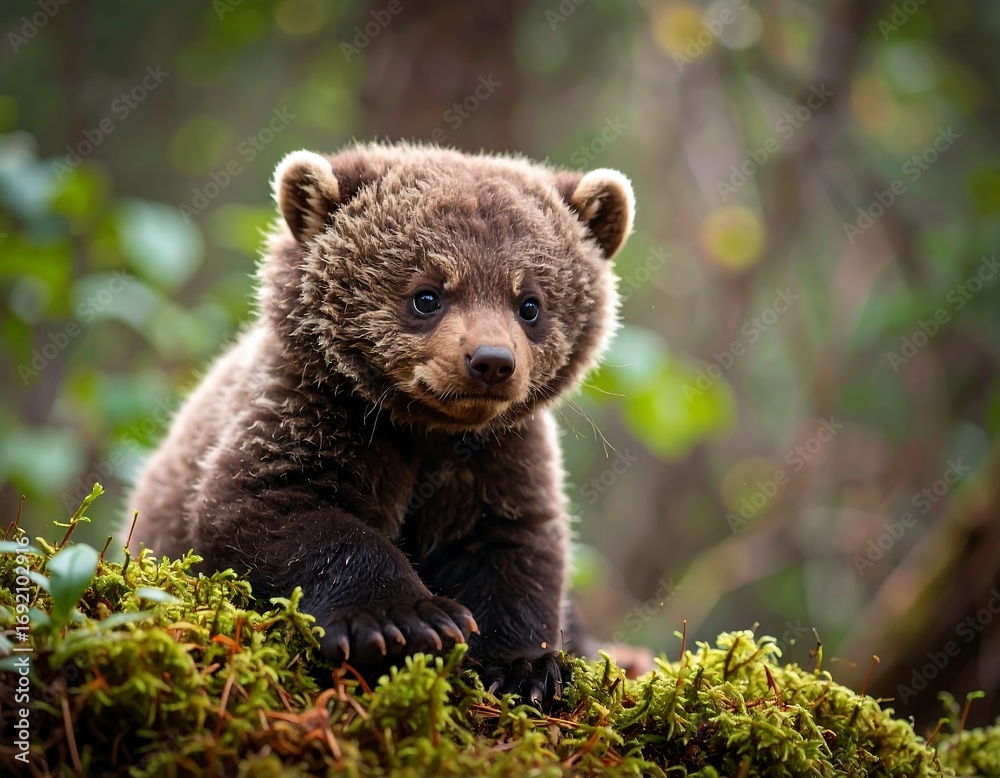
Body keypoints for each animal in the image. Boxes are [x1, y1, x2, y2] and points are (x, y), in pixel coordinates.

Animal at [128, 141, 635, 701]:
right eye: (427, 294)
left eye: (530, 304)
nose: (491, 362)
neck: (424, 428)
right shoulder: (310, 413)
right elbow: (274, 506)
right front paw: (407, 619)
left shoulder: (498, 454)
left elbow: (512, 548)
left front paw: (526, 666)